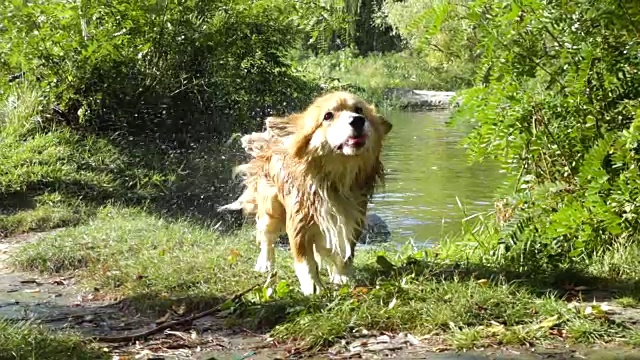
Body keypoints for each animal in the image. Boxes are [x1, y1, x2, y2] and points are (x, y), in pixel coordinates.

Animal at [220, 90, 392, 296]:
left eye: (359, 110)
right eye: (328, 116)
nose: (357, 120)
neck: (334, 179)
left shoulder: (351, 217)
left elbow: (345, 252)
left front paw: (341, 277)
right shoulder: (299, 222)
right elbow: (305, 261)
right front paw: (313, 287)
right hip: (271, 209)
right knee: (266, 236)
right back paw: (265, 263)